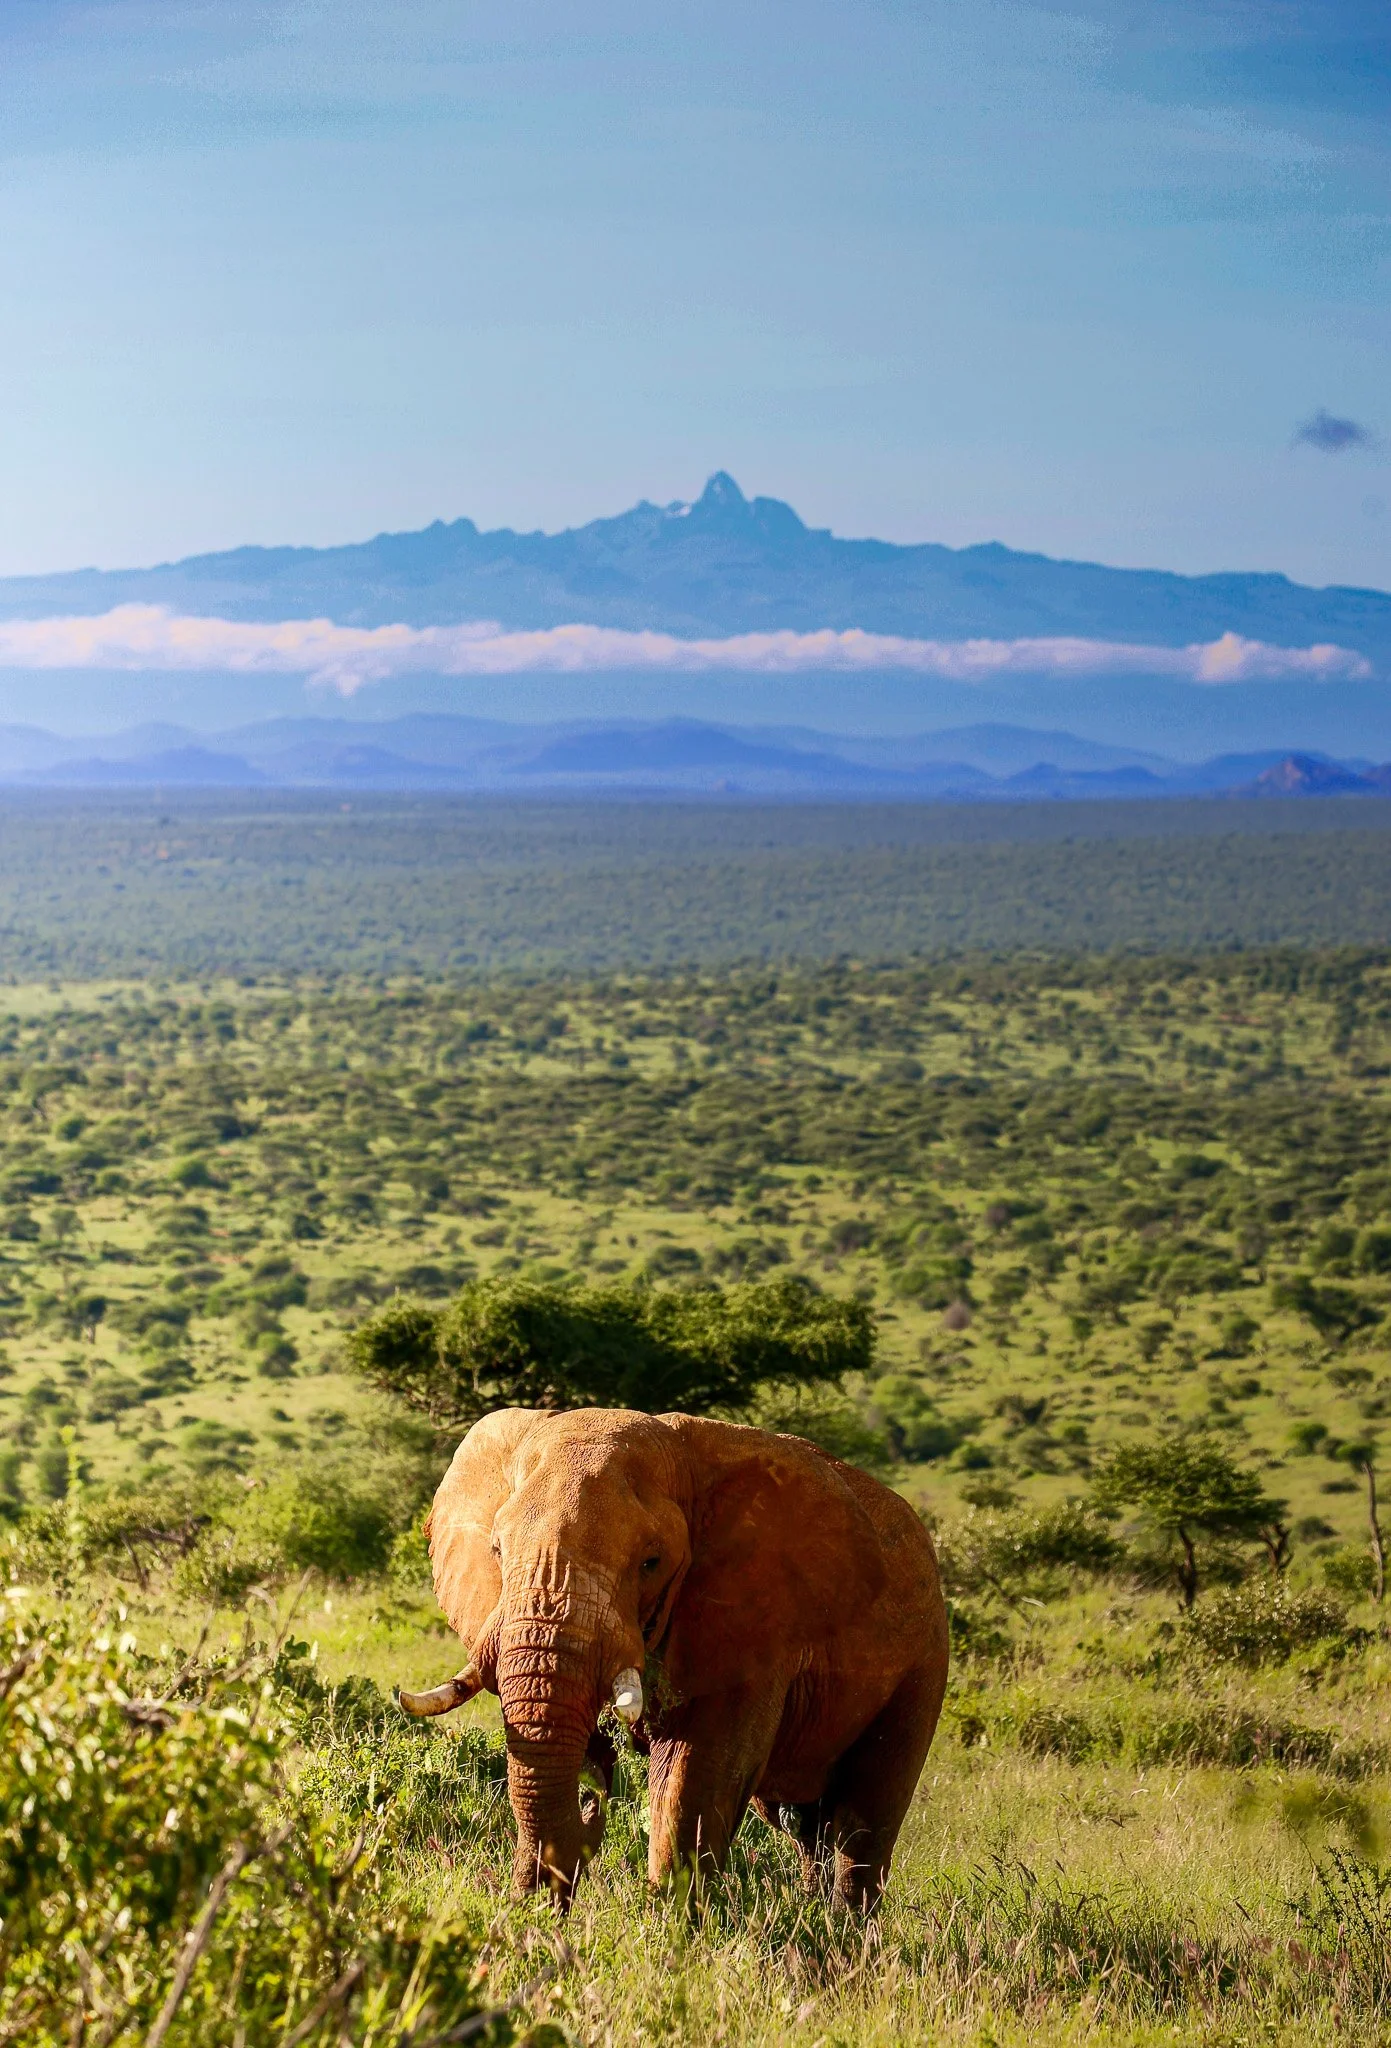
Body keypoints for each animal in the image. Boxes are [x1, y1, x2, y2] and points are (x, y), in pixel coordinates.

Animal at [398, 1406, 949, 1911]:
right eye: (496, 1550)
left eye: (651, 1563)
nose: (592, 1801)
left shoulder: (754, 1625)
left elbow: (696, 1775)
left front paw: (674, 1929)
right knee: (798, 1825)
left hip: (924, 1661)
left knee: (863, 1825)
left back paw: (846, 1935)